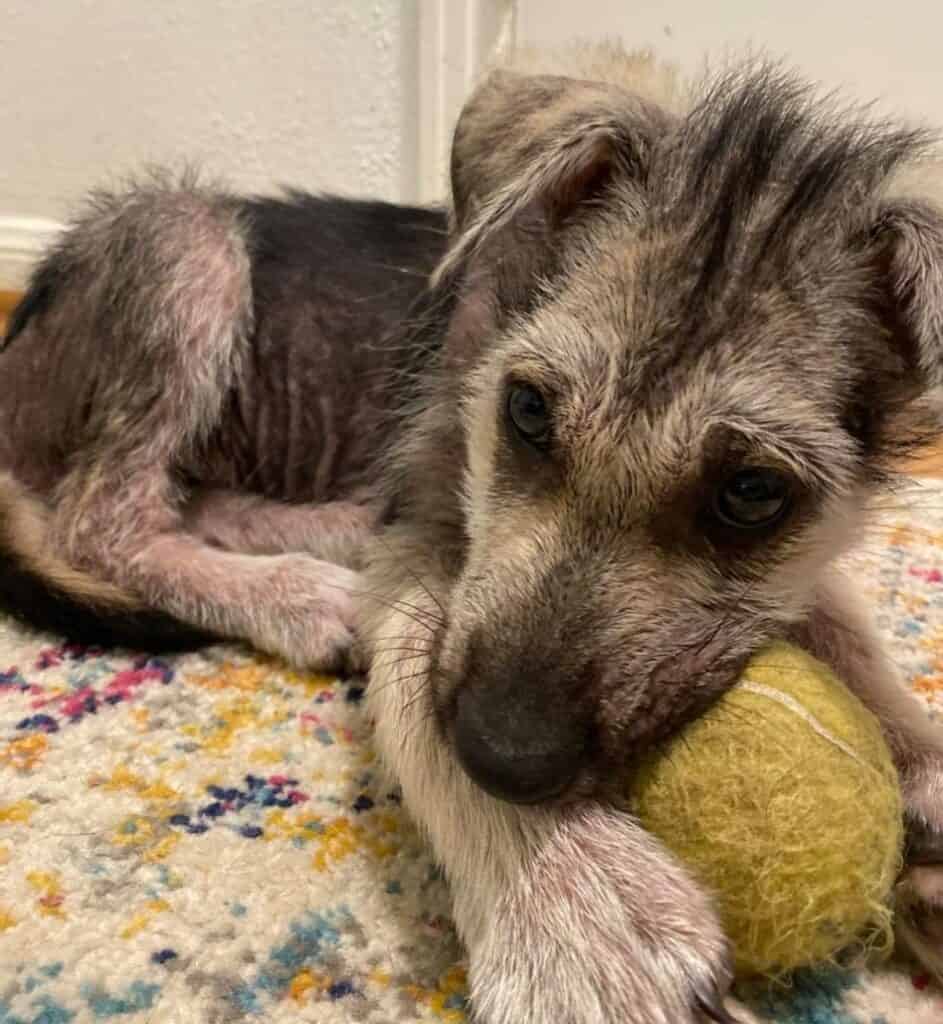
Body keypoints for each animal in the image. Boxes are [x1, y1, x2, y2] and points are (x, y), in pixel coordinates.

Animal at [1, 44, 941, 1019]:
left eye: (753, 494)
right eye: (526, 411)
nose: (505, 757)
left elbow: (840, 617)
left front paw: (920, 766)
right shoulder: (426, 514)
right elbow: (415, 670)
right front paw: (575, 905)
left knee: (182, 502)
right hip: (187, 244)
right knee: (103, 516)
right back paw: (294, 592)